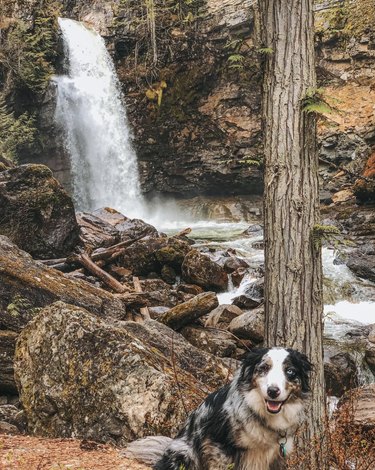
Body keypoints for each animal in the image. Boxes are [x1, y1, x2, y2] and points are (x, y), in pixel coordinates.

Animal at [154, 346, 312, 470]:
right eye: (264, 368)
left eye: (290, 371)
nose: (273, 391)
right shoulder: (219, 447)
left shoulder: (276, 457)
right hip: (184, 453)